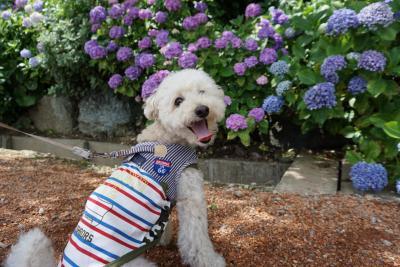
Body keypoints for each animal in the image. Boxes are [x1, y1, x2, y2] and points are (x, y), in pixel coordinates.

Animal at [5, 69, 225, 267]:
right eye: (178, 101)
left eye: (202, 91)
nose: (202, 109)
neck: (167, 139)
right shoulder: (191, 199)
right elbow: (196, 241)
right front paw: (212, 261)